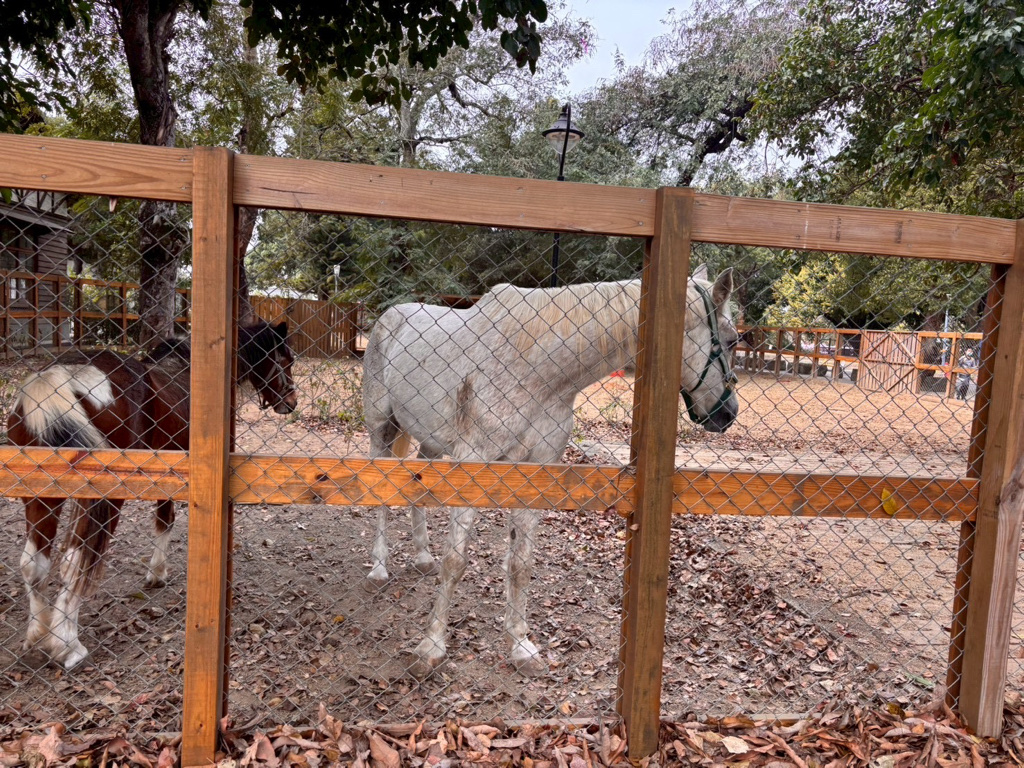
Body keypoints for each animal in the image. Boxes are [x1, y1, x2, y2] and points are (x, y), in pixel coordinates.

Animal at [7, 319, 297, 670]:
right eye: (286, 360)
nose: (291, 402)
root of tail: (58, 377)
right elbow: (165, 520)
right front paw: (157, 572)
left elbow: (162, 520)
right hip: (102, 499)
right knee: (74, 562)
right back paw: (68, 645)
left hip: (41, 497)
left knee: (33, 565)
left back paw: (37, 637)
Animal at [362, 265, 739, 677]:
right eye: (732, 340)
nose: (728, 414)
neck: (534, 370)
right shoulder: (473, 464)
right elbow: (456, 561)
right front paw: (431, 647)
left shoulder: (533, 473)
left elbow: (521, 564)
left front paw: (520, 646)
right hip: (382, 429)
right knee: (381, 496)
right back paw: (378, 569)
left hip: (429, 443)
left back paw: (422, 557)